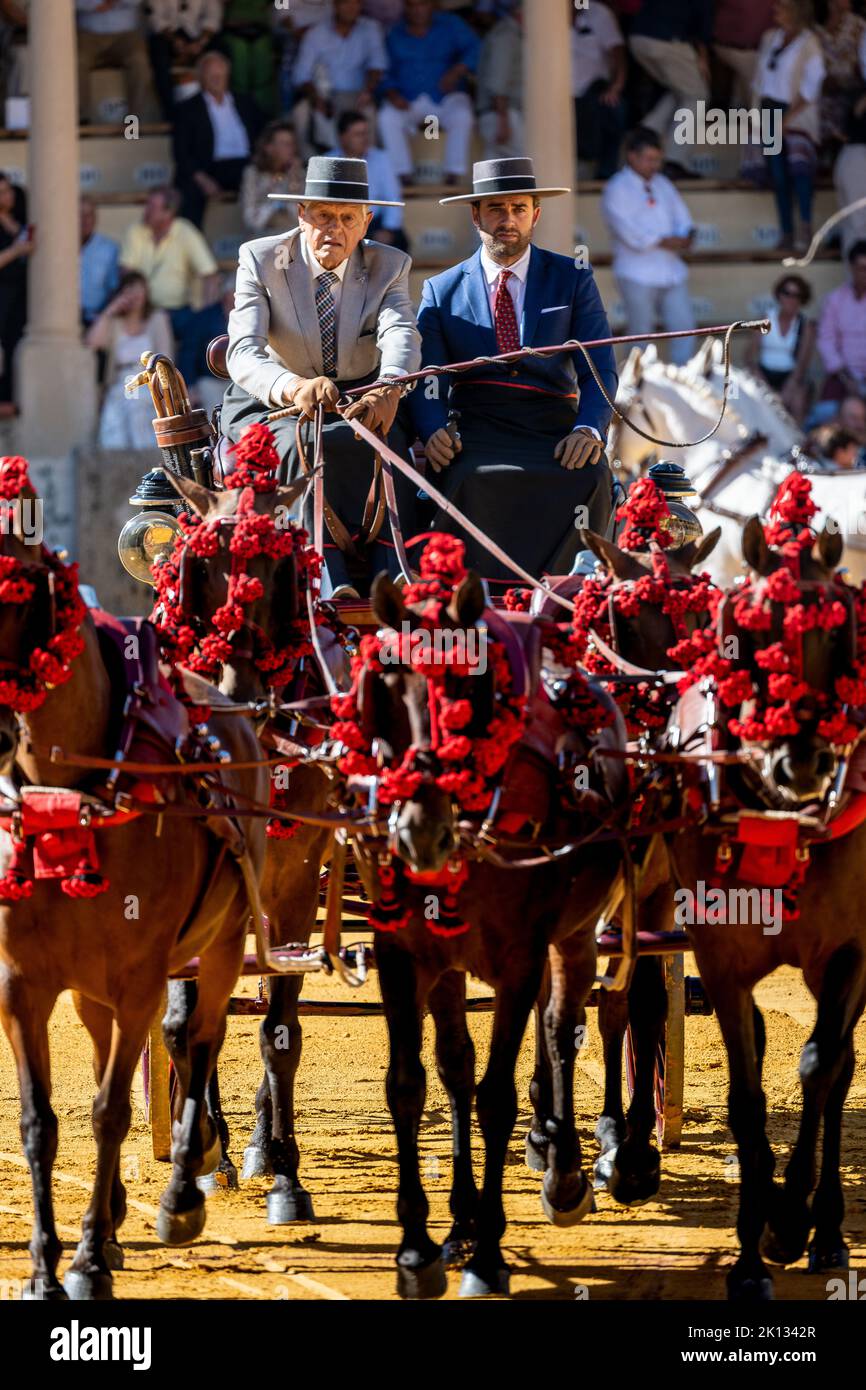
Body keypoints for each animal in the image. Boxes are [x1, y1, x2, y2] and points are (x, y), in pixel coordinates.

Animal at [0, 461, 268, 1295]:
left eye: (11, 584)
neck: (77, 794)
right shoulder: (23, 985)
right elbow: (42, 1121)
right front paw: (47, 1264)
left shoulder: (146, 974)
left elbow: (112, 1110)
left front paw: (87, 1258)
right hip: (93, 986)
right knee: (108, 1049)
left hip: (226, 939)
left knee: (203, 1035)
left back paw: (188, 1180)